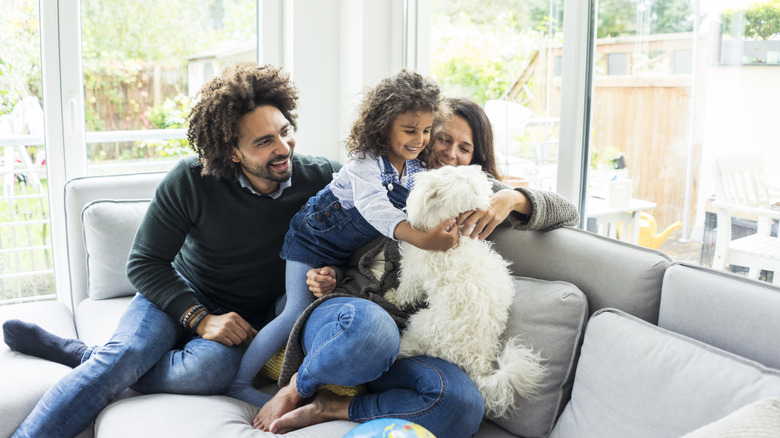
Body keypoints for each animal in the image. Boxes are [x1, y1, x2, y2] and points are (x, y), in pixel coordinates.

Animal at [386, 164, 544, 418]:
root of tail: (477, 362)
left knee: (410, 345)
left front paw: (393, 297)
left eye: (445, 171)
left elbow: (406, 291)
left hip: (423, 324)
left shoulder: (413, 272)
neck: (456, 235)